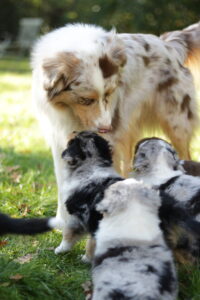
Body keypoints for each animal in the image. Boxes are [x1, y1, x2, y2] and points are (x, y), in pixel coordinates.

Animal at [55, 131, 122, 260]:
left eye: (71, 142)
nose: (72, 132)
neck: (91, 164)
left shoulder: (76, 216)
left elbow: (68, 233)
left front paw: (61, 249)